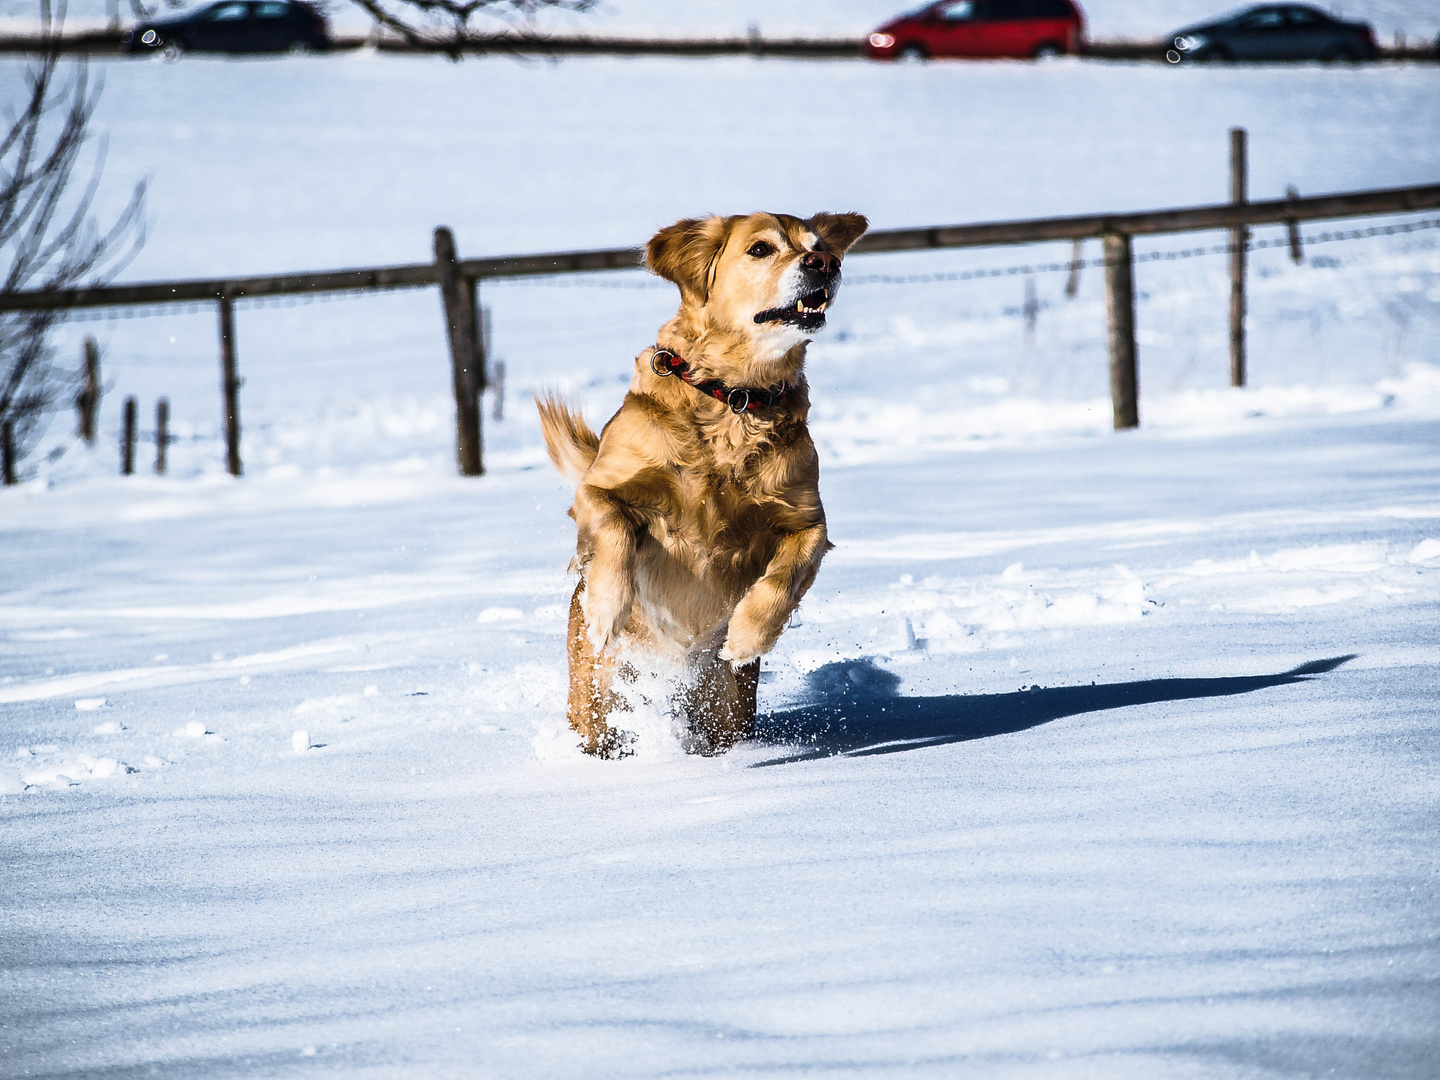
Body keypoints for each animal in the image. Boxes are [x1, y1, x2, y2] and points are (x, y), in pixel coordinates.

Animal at [535, 211, 858, 760]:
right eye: (760, 249)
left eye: (819, 245)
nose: (825, 262)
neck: (734, 397)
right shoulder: (597, 488)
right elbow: (613, 526)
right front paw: (606, 608)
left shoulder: (808, 520)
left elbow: (785, 577)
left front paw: (746, 636)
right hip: (595, 698)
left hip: (727, 711)